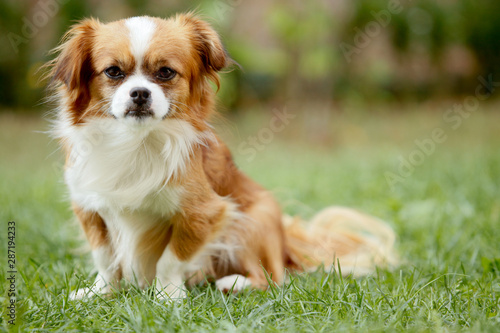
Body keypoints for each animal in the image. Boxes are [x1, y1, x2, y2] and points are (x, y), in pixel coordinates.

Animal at [47, 13, 398, 300]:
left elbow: (170, 259)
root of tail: (286, 241)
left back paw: (234, 283)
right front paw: (100, 292)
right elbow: (105, 258)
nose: (140, 93)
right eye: (113, 72)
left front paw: (166, 296)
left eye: (165, 73)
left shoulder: (204, 214)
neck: (135, 142)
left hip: (251, 223)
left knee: (272, 278)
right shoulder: (90, 209)